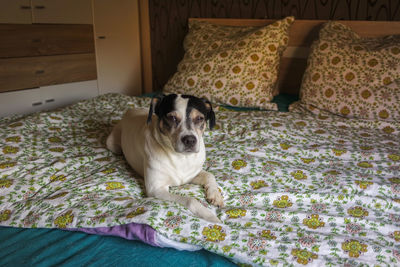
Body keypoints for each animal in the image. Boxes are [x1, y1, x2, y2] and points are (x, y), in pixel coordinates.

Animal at [106, 94, 223, 224]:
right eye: (172, 118)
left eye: (199, 118)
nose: (190, 140)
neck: (181, 158)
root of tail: (130, 110)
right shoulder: (156, 189)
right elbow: (190, 200)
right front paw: (209, 216)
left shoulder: (191, 175)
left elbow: (209, 175)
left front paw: (216, 195)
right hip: (112, 144)